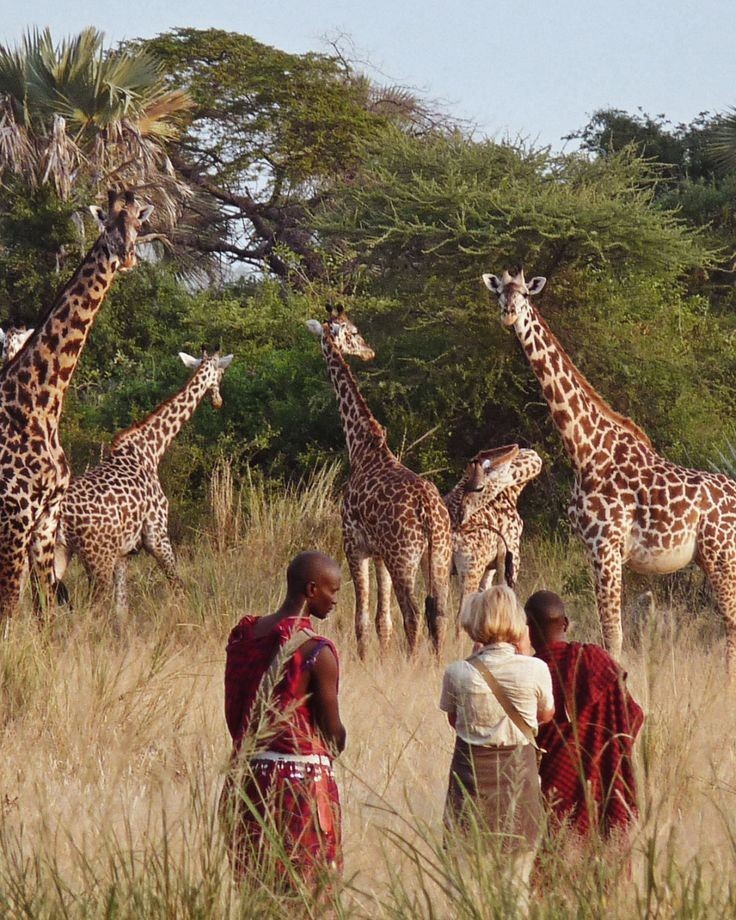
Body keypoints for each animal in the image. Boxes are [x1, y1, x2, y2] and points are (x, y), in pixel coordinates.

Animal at [0, 189, 153, 620]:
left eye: (139, 223)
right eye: (108, 224)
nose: (126, 256)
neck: (40, 406)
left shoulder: (45, 519)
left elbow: (46, 611)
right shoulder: (15, 515)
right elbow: (9, 608)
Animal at [54, 350, 233, 616]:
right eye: (221, 374)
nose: (218, 402)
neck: (150, 449)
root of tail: (61, 515)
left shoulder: (124, 552)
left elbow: (122, 608)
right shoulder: (157, 534)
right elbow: (178, 586)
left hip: (57, 551)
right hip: (97, 556)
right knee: (92, 607)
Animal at [306, 306, 452, 657]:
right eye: (355, 331)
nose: (369, 351)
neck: (361, 446)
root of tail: (429, 512)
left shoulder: (353, 544)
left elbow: (362, 618)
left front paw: (364, 659)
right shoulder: (379, 553)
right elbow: (382, 622)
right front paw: (382, 658)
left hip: (404, 559)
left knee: (413, 614)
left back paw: (412, 662)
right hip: (438, 556)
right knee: (439, 613)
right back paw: (436, 661)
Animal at [445, 445, 542, 618]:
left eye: (477, 487)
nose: (459, 516)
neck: (512, 491)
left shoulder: (489, 568)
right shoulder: (511, 555)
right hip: (471, 570)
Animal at [483, 267, 736, 669]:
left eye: (523, 294)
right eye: (499, 295)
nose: (509, 314)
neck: (585, 450)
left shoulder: (607, 546)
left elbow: (613, 635)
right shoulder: (593, 549)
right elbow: (610, 632)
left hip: (720, 556)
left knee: (731, 623)